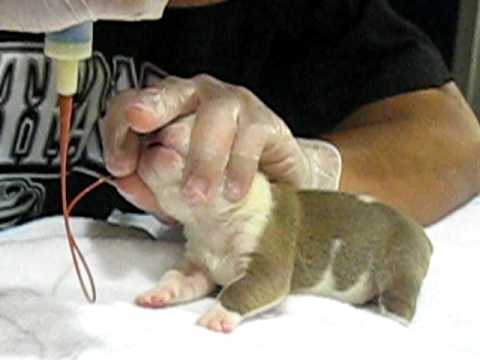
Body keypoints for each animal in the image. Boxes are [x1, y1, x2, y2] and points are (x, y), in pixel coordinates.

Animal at [134, 116, 432, 334]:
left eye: (203, 127)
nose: (155, 130)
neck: (213, 221)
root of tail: (422, 234)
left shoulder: (268, 261)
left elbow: (240, 288)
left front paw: (217, 315)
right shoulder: (199, 264)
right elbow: (179, 277)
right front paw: (158, 292)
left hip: (400, 262)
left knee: (401, 302)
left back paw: (388, 323)